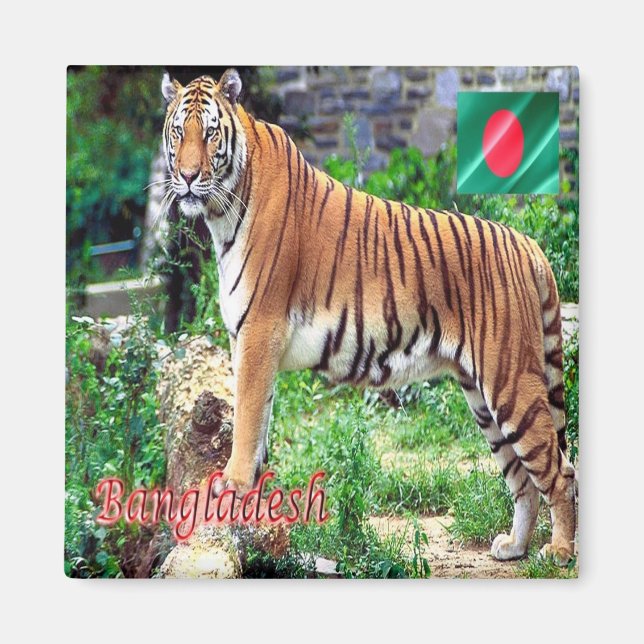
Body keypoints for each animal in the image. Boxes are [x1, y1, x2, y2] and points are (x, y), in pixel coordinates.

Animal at [160, 68, 576, 565]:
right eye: (178, 132)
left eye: (209, 133)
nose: (187, 177)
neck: (222, 211)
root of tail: (528, 244)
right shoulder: (248, 339)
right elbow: (258, 417)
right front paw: (256, 490)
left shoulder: (259, 329)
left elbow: (245, 417)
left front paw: (234, 484)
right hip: (482, 398)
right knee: (521, 477)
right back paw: (514, 547)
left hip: (511, 382)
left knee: (561, 471)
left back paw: (560, 550)